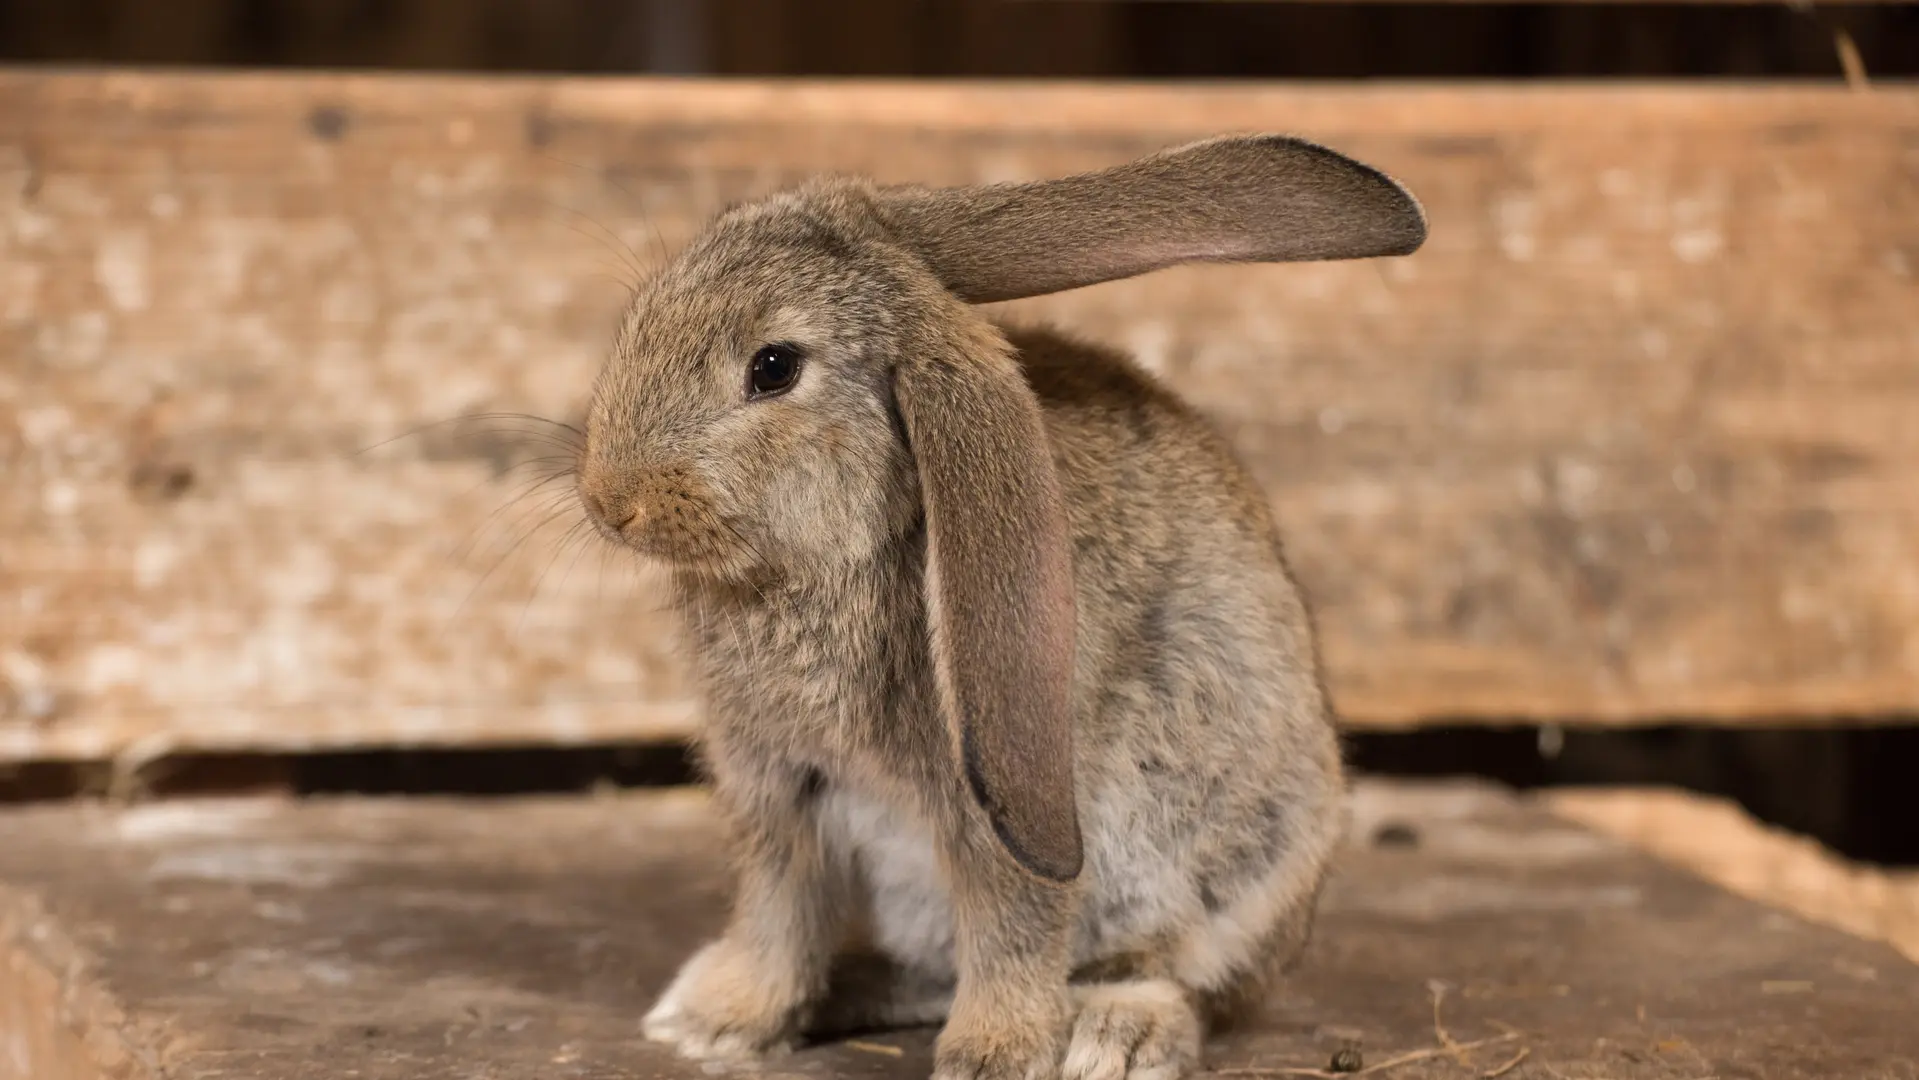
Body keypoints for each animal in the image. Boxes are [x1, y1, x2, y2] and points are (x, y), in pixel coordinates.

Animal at [568, 137, 1427, 1080]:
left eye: (773, 367)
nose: (609, 500)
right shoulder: (780, 791)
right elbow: (778, 909)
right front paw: (716, 1022)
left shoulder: (999, 801)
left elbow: (1013, 921)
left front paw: (994, 1056)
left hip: (1228, 862)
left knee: (1171, 973)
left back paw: (1114, 1040)